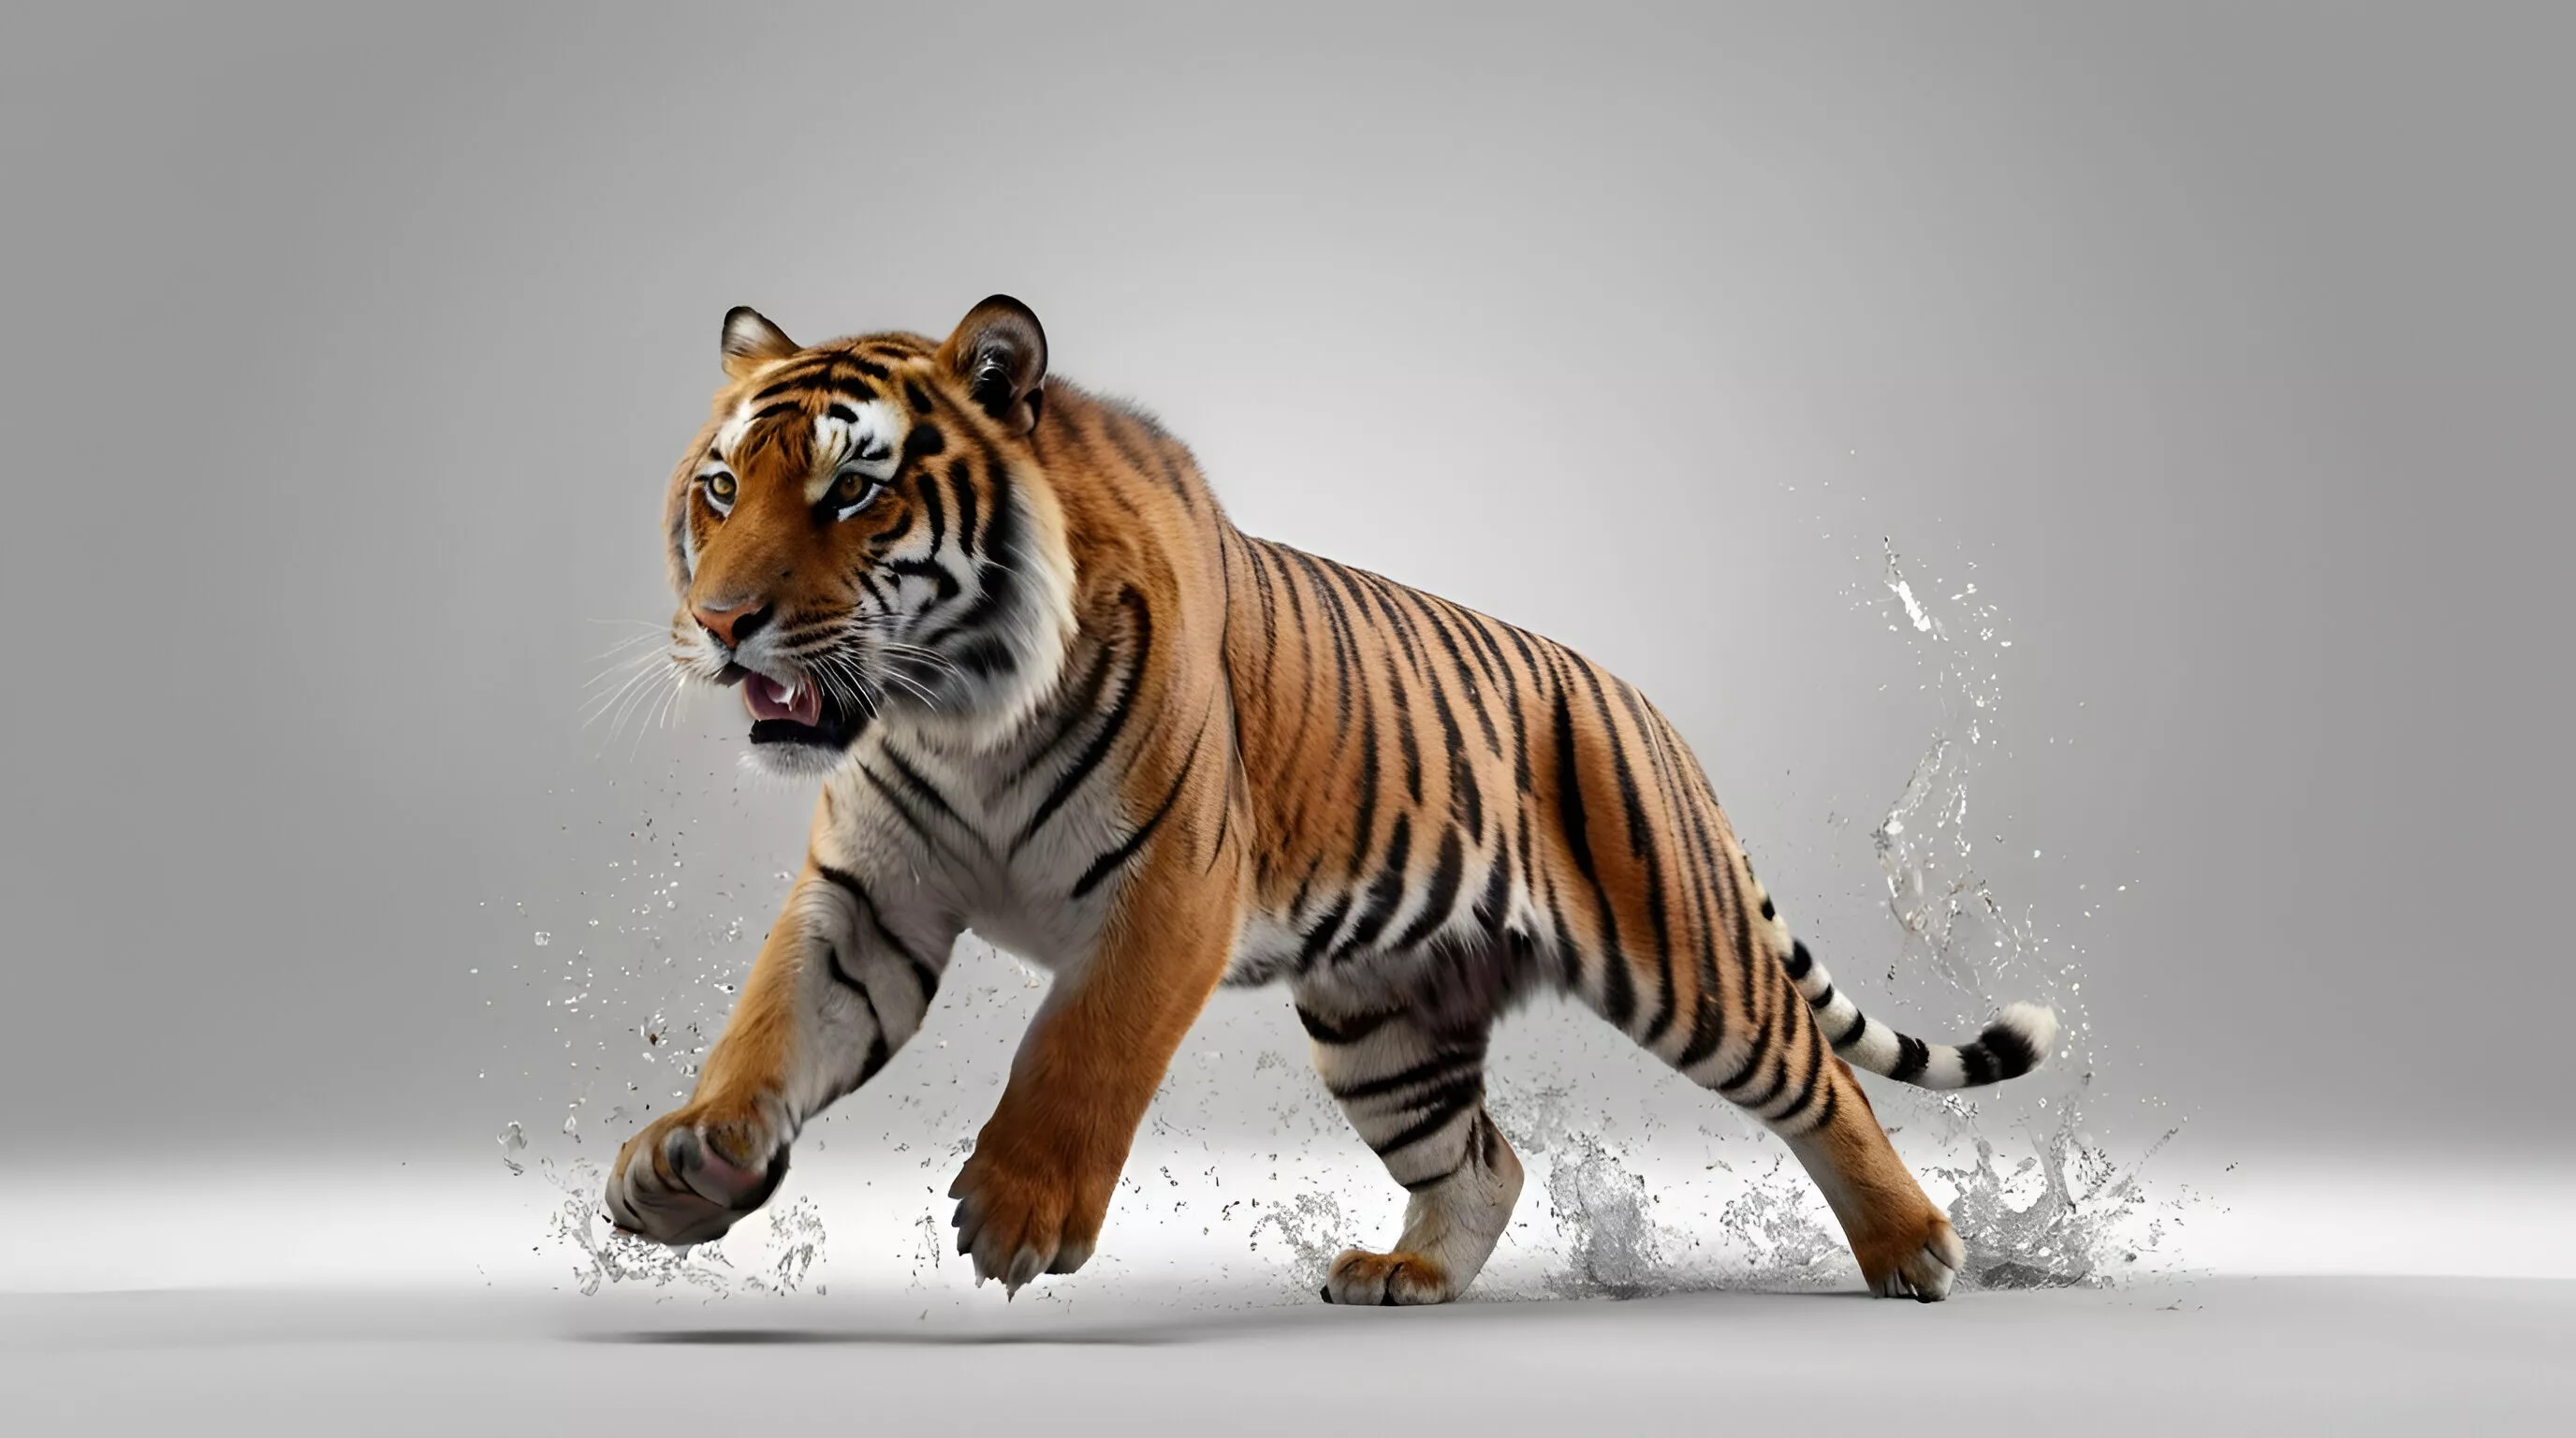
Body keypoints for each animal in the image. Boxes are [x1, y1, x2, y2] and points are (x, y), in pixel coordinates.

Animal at [605, 295, 2059, 1304]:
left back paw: (1916, 1250)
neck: (956, 716)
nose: (719, 625)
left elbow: (1081, 1049)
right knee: (1485, 1159)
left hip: (1689, 964)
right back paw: (1409, 1276)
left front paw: (1017, 1212)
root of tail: (1641, 704)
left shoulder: (1172, 888)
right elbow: (769, 1031)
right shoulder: (869, 895)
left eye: (854, 489)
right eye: (723, 488)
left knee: (1822, 1080)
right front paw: (687, 1168)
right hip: (1386, 1022)